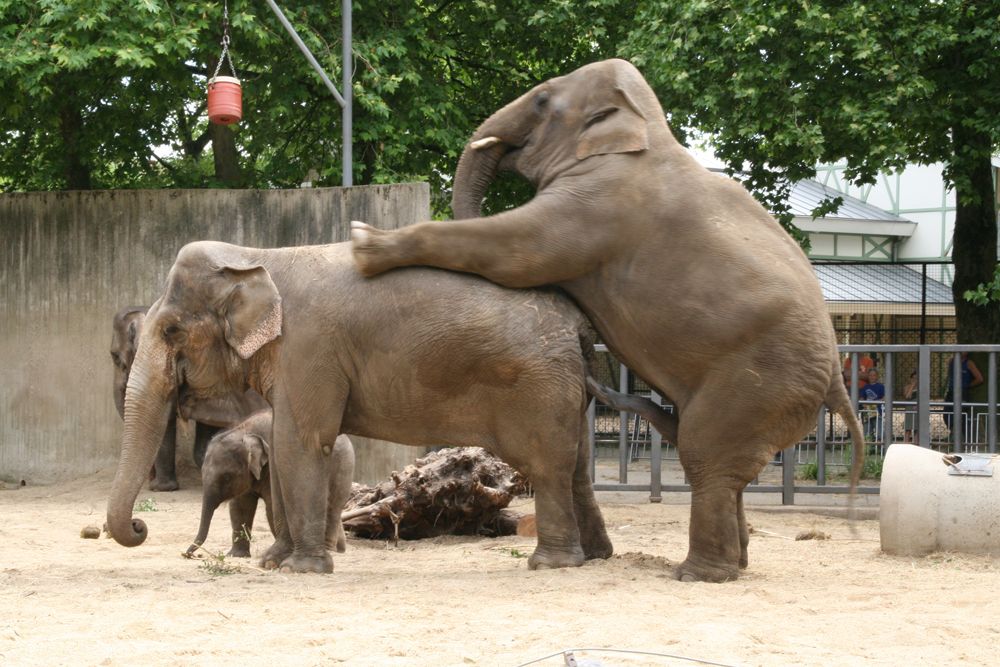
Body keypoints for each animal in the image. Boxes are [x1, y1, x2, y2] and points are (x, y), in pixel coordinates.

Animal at [188, 412, 356, 560]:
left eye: (227, 477)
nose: (188, 554)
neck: (245, 430)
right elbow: (239, 507)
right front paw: (235, 555)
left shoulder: (273, 468)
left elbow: (272, 507)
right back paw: (340, 549)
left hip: (343, 468)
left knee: (332, 508)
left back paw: (329, 549)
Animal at [354, 57, 868, 580]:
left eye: (542, 100)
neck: (645, 127)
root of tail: (835, 376)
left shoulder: (598, 203)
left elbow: (515, 253)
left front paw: (364, 244)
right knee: (718, 463)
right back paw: (734, 563)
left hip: (760, 380)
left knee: (705, 457)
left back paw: (696, 574)